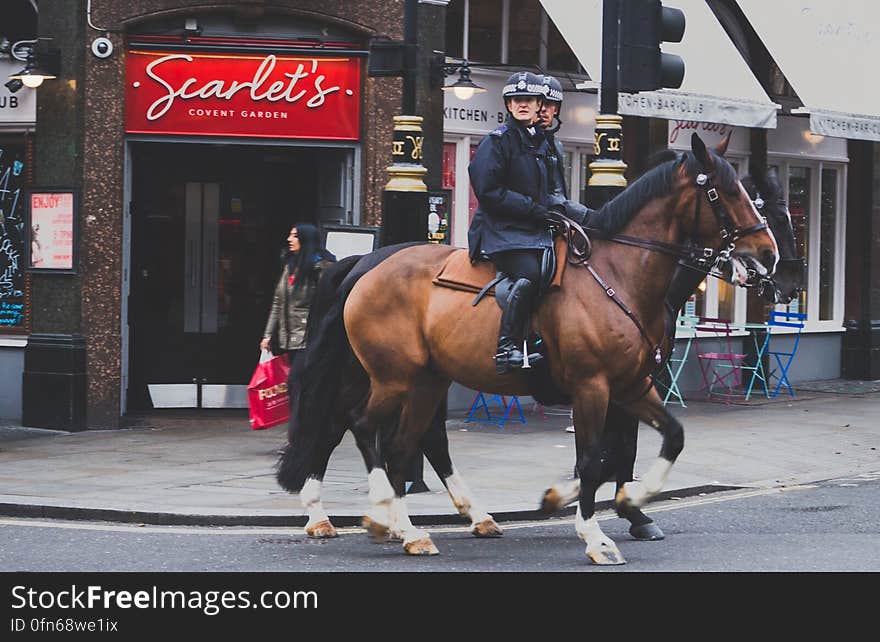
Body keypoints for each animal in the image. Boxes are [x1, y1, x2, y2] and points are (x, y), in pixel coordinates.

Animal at [276, 132, 776, 564]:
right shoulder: (592, 387)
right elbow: (594, 458)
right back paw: (376, 512)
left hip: (424, 379)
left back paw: (408, 527)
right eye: (726, 193)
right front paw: (596, 534)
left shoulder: (632, 386)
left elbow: (667, 437)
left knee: (402, 441)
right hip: (391, 375)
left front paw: (622, 500)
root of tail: (368, 266)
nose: (769, 255)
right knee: (359, 424)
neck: (619, 275)